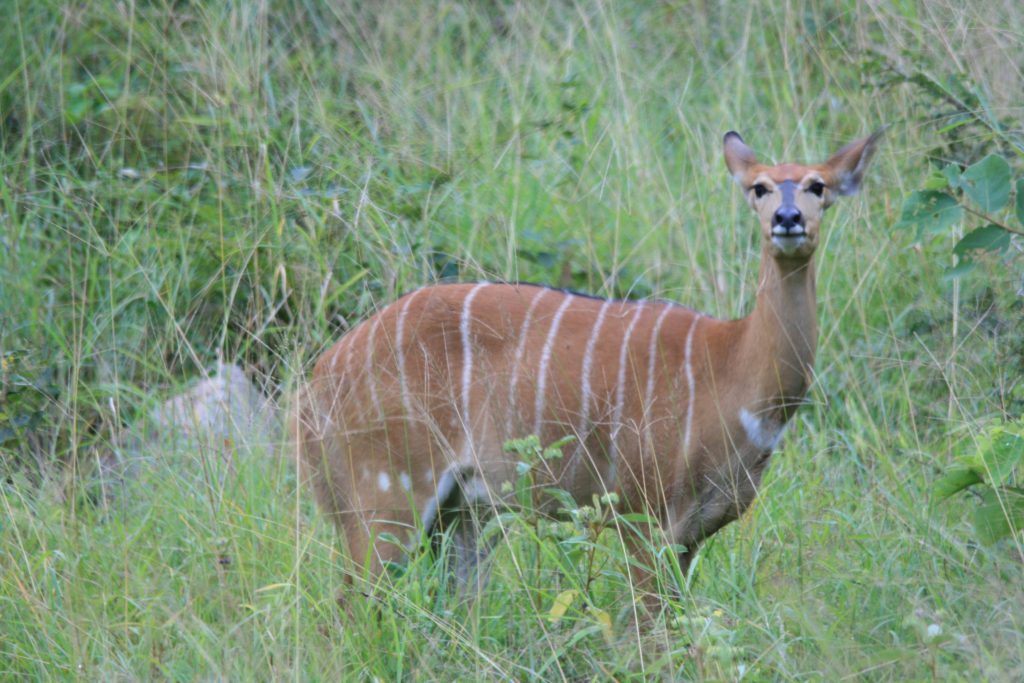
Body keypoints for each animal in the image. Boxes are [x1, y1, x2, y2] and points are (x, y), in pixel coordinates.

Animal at [289, 129, 882, 607]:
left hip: (466, 515)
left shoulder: (692, 536)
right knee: (351, 607)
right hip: (387, 498)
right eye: (759, 187)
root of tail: (314, 384)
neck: (732, 368)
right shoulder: (645, 516)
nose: (788, 220)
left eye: (818, 186)